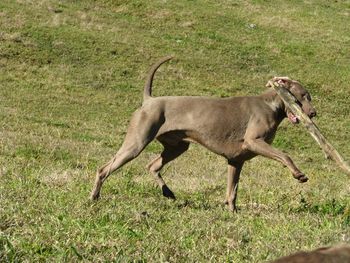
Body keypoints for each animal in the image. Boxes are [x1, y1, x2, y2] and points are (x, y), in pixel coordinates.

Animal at [90, 56, 318, 212]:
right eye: (303, 96)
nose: (314, 113)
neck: (270, 104)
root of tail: (149, 100)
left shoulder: (235, 161)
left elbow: (232, 190)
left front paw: (232, 211)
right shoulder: (254, 141)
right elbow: (285, 155)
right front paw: (298, 174)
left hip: (178, 146)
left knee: (152, 165)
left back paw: (168, 192)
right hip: (137, 141)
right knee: (104, 169)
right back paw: (94, 196)